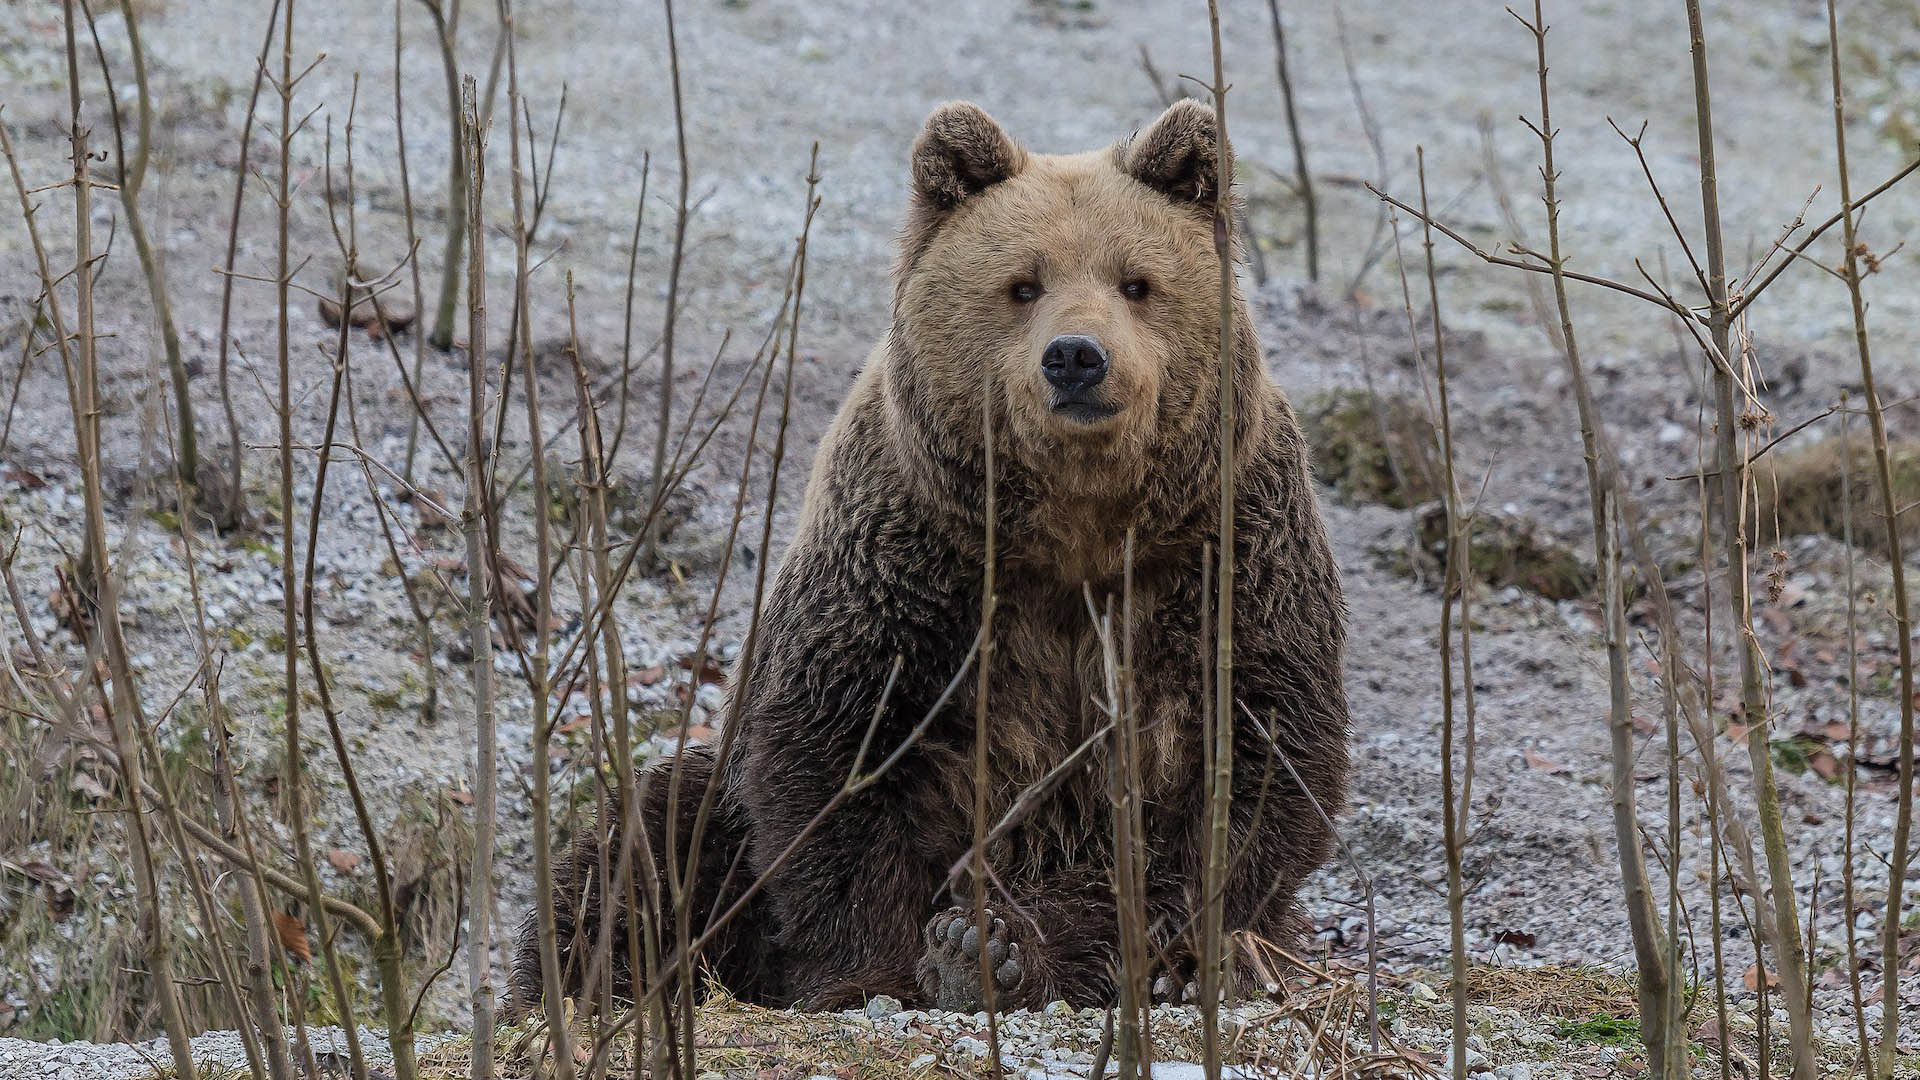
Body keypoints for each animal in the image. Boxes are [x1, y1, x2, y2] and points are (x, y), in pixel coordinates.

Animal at [510, 96, 1351, 1014]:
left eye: (1138, 282)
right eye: (1023, 283)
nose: (1076, 357)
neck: (1078, 527)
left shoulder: (1223, 554)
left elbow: (1243, 769)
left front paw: (1006, 944)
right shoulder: (911, 560)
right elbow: (844, 757)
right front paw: (882, 970)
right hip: (720, 804)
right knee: (642, 852)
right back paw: (588, 982)